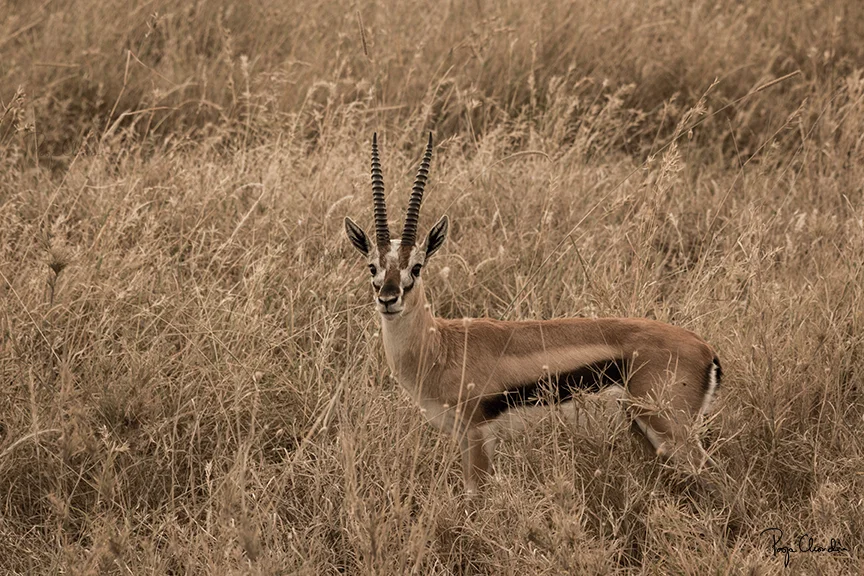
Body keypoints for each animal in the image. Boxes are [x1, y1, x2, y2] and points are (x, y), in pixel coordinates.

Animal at [344, 133, 724, 497]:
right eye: (372, 266)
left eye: (417, 267)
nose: (388, 298)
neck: (441, 347)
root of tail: (706, 349)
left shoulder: (476, 434)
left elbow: (474, 499)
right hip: (646, 433)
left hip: (671, 430)